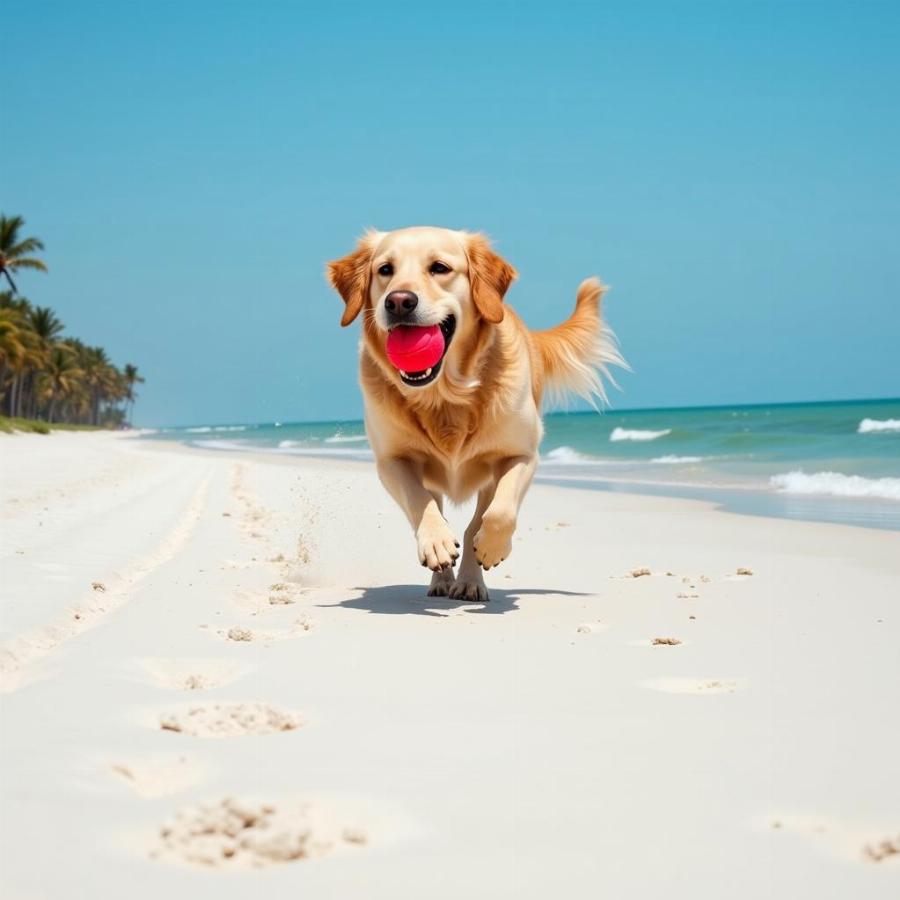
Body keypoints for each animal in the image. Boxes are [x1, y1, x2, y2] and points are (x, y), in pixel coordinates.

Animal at [326, 229, 624, 600]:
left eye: (439, 268)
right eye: (385, 269)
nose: (398, 302)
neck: (444, 397)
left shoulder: (520, 455)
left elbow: (496, 514)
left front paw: (490, 549)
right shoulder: (392, 461)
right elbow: (420, 502)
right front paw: (436, 543)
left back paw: (469, 580)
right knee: (436, 504)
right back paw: (442, 577)